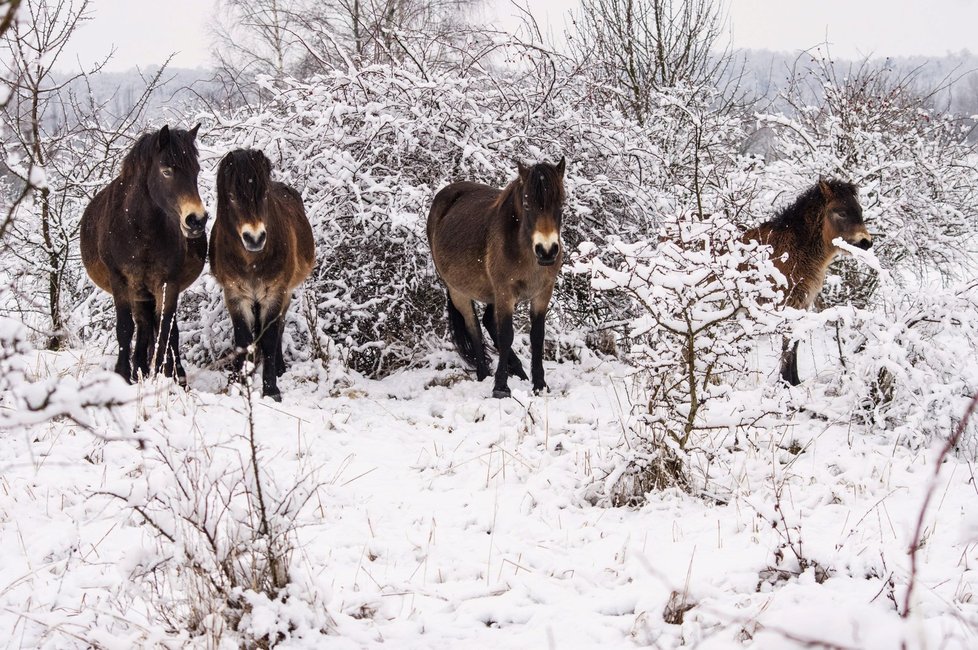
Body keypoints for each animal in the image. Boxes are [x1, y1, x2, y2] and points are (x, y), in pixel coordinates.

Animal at [80, 124, 208, 382]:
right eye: (167, 171)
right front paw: (123, 374)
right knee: (142, 325)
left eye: (196, 170)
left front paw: (163, 375)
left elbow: (165, 329)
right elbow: (125, 328)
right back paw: (138, 367)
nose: (197, 220)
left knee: (161, 328)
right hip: (139, 292)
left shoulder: (168, 282)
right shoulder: (120, 280)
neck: (141, 230)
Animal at [211, 148, 314, 400]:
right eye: (232, 196)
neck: (252, 262)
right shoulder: (235, 294)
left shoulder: (275, 293)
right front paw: (241, 385)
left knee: (280, 328)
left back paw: (279, 367)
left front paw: (271, 390)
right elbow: (243, 339)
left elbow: (269, 338)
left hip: (286, 293)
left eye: (264, 195)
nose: (255, 238)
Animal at [426, 159, 564, 398]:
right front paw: (501, 387)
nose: (546, 251)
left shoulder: (543, 292)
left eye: (561, 203)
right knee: (475, 329)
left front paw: (539, 384)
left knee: (488, 321)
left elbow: (537, 336)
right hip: (459, 291)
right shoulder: (505, 292)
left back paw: (520, 373)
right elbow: (506, 334)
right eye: (527, 205)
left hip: (492, 294)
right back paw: (484, 374)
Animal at [744, 177, 872, 384]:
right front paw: (786, 382)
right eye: (841, 212)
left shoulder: (803, 304)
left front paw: (794, 381)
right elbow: (788, 342)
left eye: (859, 210)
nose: (865, 242)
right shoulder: (788, 304)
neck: (796, 249)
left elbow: (794, 342)